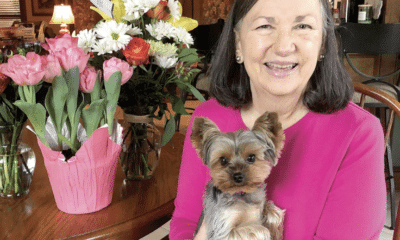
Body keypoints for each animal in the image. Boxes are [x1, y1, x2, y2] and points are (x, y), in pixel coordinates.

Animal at [192, 111, 286, 239]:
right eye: (223, 160)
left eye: (251, 157)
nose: (237, 176)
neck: (241, 194)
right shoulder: (221, 231)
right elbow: (261, 230)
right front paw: (268, 233)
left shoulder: (260, 206)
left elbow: (275, 211)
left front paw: (276, 233)